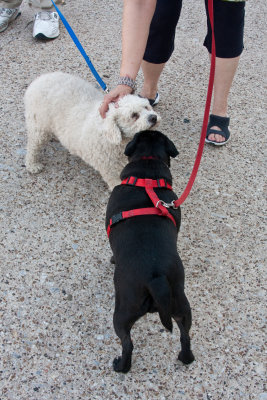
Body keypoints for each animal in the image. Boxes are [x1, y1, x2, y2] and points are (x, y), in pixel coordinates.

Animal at [24, 71, 161, 189]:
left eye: (147, 107)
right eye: (134, 115)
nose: (153, 117)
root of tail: (40, 79)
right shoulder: (109, 168)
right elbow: (116, 183)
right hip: (39, 127)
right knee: (32, 147)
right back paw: (32, 165)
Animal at [105, 130, 195, 372]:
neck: (147, 174)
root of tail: (156, 278)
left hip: (122, 314)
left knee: (128, 344)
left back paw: (121, 366)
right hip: (182, 307)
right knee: (185, 336)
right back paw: (186, 358)